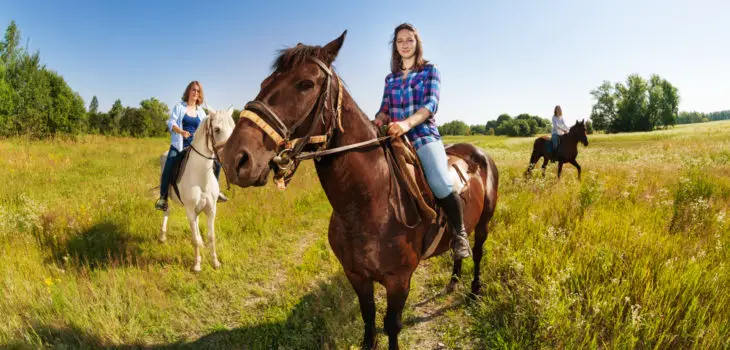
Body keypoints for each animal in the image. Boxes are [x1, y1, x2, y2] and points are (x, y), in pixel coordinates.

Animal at [159, 106, 236, 270]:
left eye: (233, 129)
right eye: (217, 129)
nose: (231, 156)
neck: (201, 177)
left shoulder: (211, 210)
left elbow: (211, 237)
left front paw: (215, 262)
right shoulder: (189, 209)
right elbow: (194, 239)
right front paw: (197, 265)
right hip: (168, 197)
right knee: (167, 211)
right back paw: (162, 236)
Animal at [219, 31, 498, 348]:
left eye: (306, 84)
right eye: (265, 82)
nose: (235, 157)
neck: (367, 204)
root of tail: (478, 153)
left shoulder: (398, 280)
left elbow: (391, 325)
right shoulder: (356, 275)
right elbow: (368, 316)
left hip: (484, 225)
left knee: (477, 252)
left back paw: (474, 290)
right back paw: (453, 282)